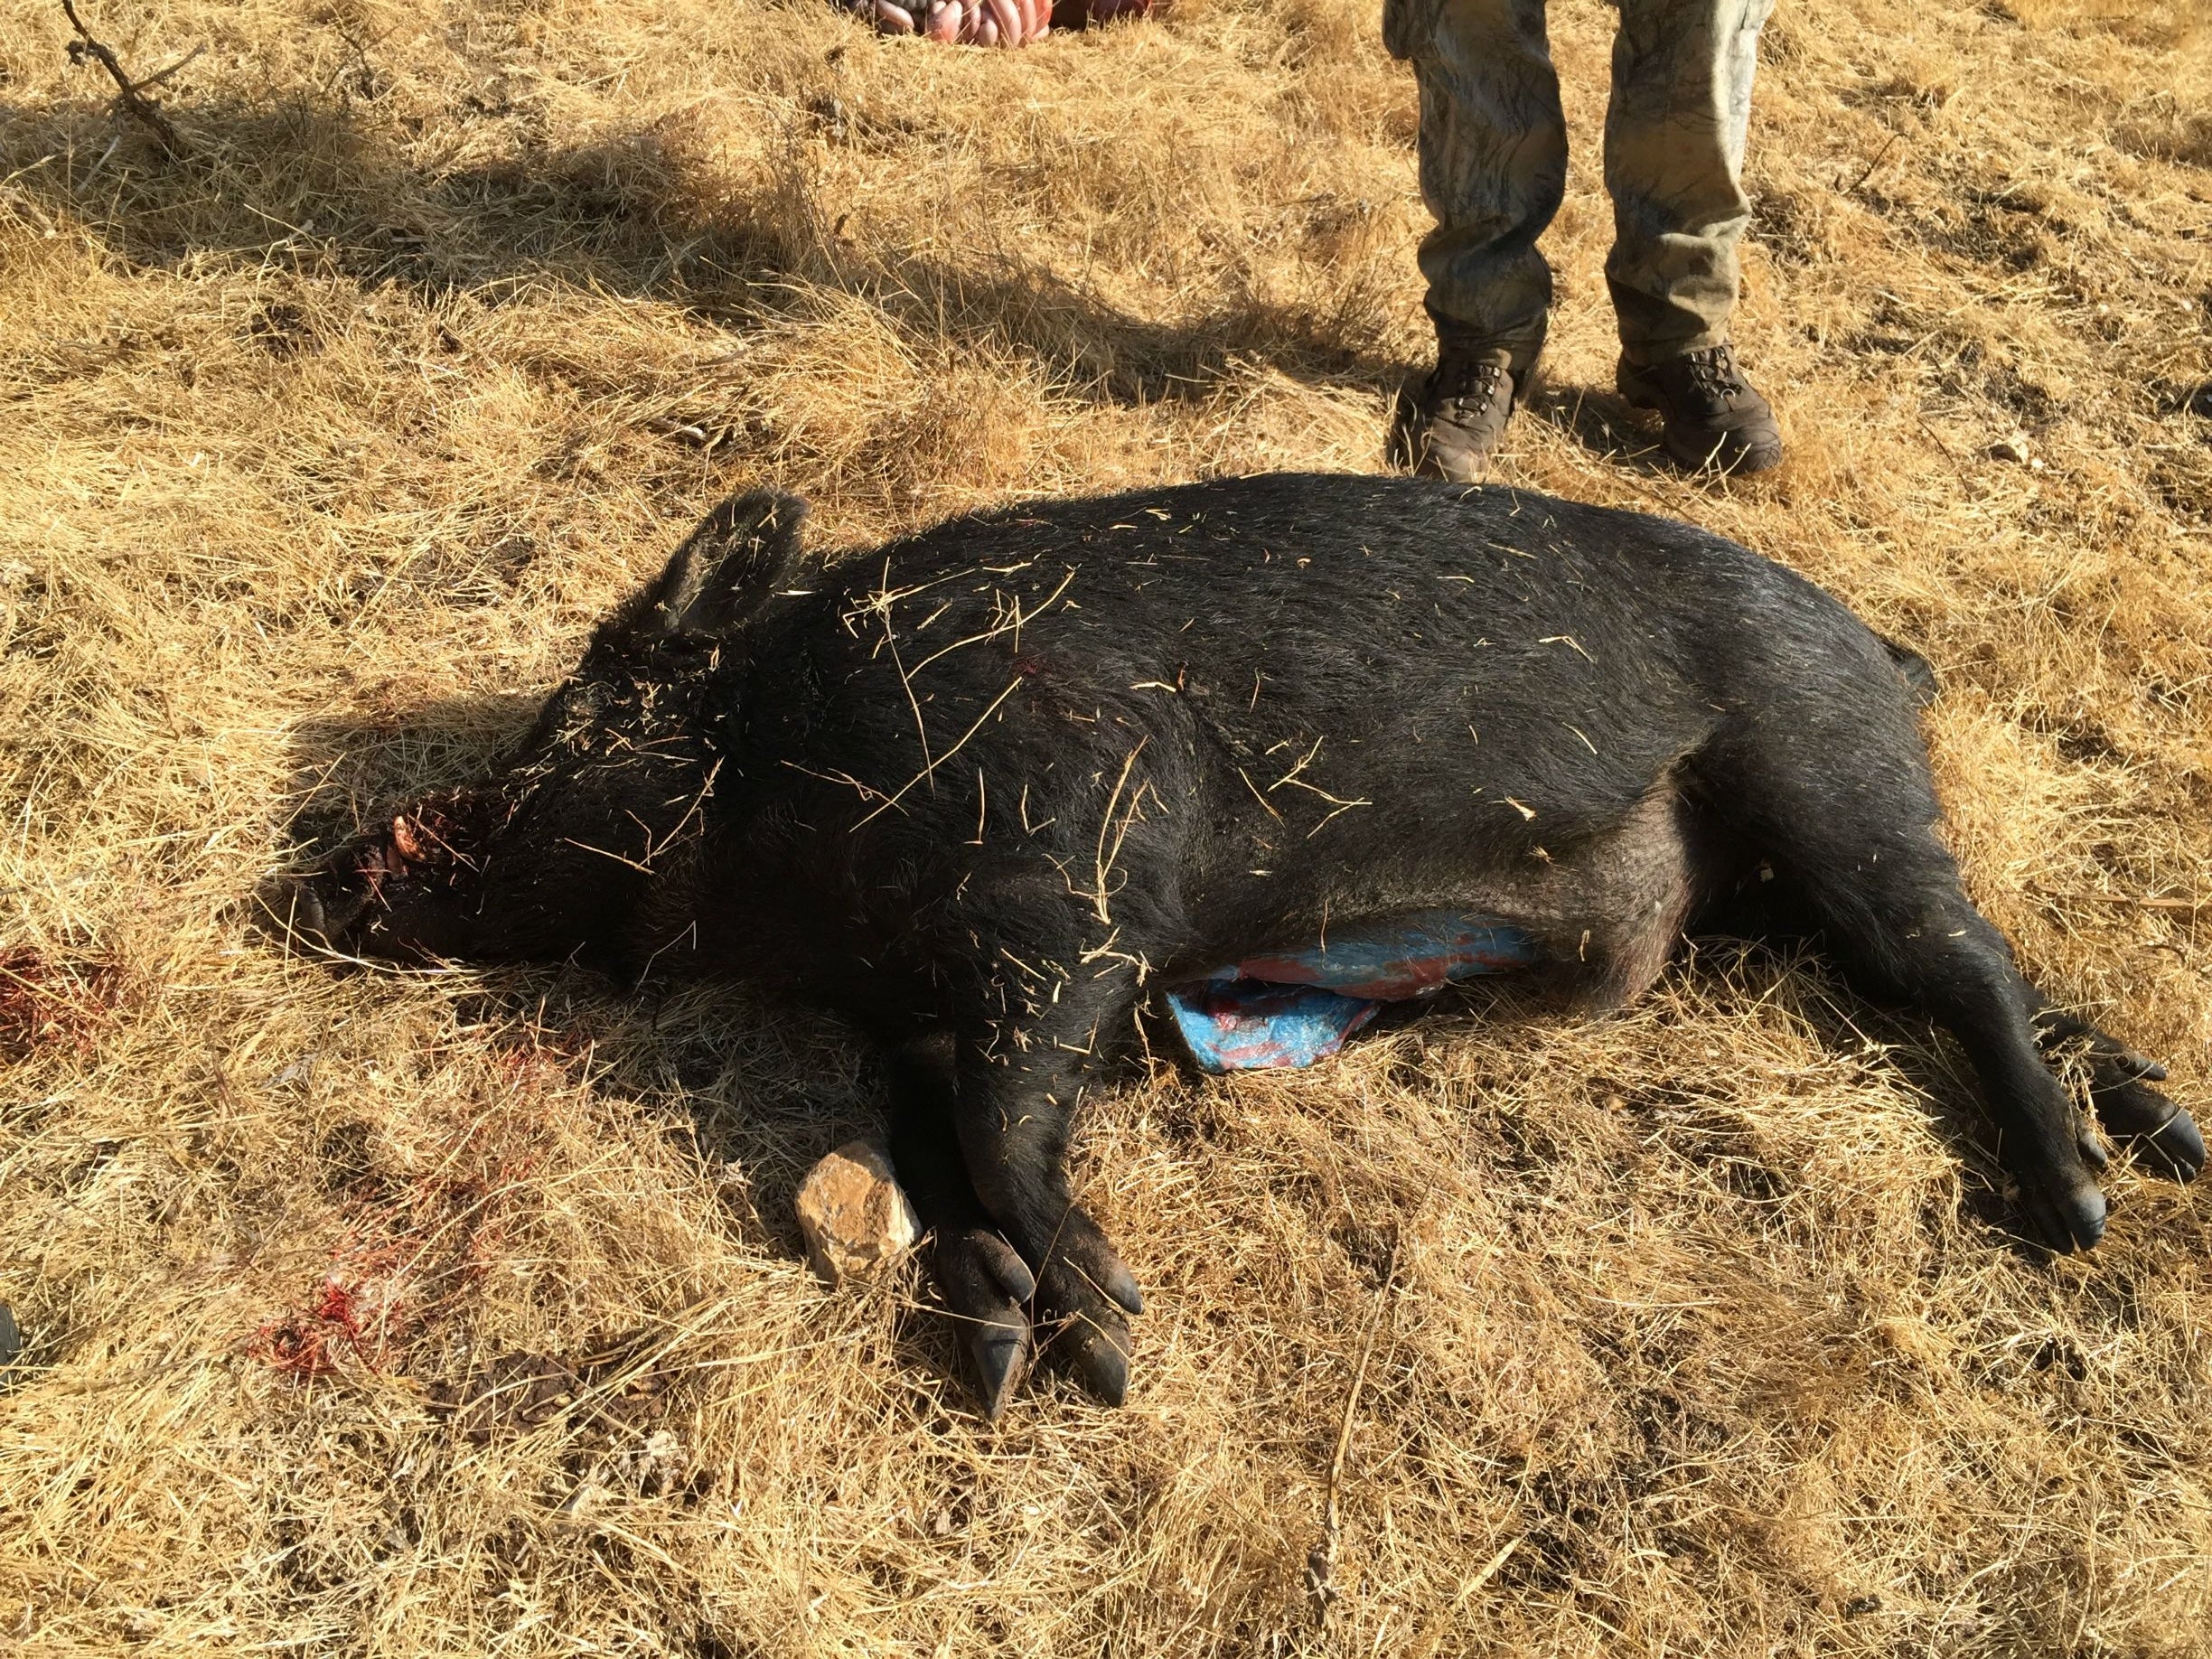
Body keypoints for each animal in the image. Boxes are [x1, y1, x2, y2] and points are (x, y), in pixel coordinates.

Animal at [256, 473, 2203, 1417]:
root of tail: (1881, 643)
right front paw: (1010, 1341)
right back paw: (2158, 1134)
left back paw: (2078, 1205)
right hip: (1793, 889)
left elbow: (1000, 1115)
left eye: (571, 712)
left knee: (1968, 965)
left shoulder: (1070, 892)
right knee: (2007, 974)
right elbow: (911, 1123)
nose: (320, 877)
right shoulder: (920, 998)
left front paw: (1111, 1334)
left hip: (1827, 774)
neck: (790, 776)